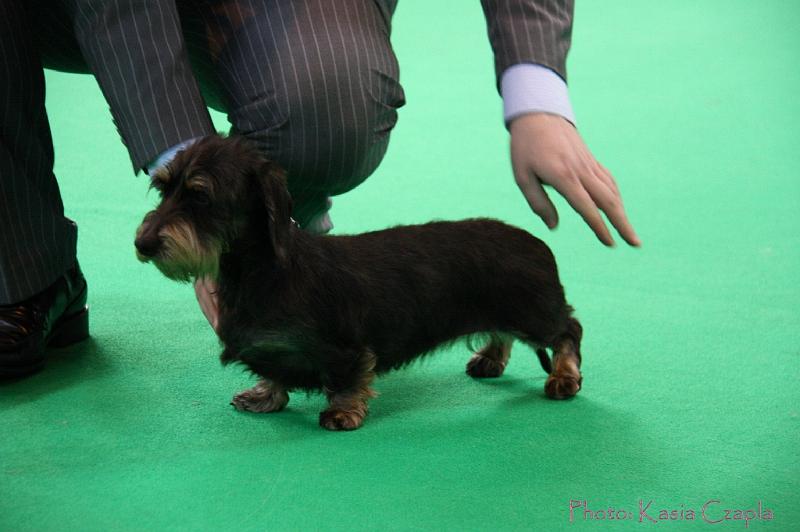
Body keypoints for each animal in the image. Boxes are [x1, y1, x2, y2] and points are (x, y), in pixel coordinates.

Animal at [136, 135, 580, 430]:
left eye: (200, 196)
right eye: (162, 188)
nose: (142, 244)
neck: (263, 273)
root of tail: (537, 245)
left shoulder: (344, 348)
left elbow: (347, 378)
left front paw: (343, 411)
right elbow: (276, 373)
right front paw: (265, 395)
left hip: (533, 312)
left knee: (568, 330)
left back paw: (563, 377)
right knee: (505, 333)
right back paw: (490, 357)